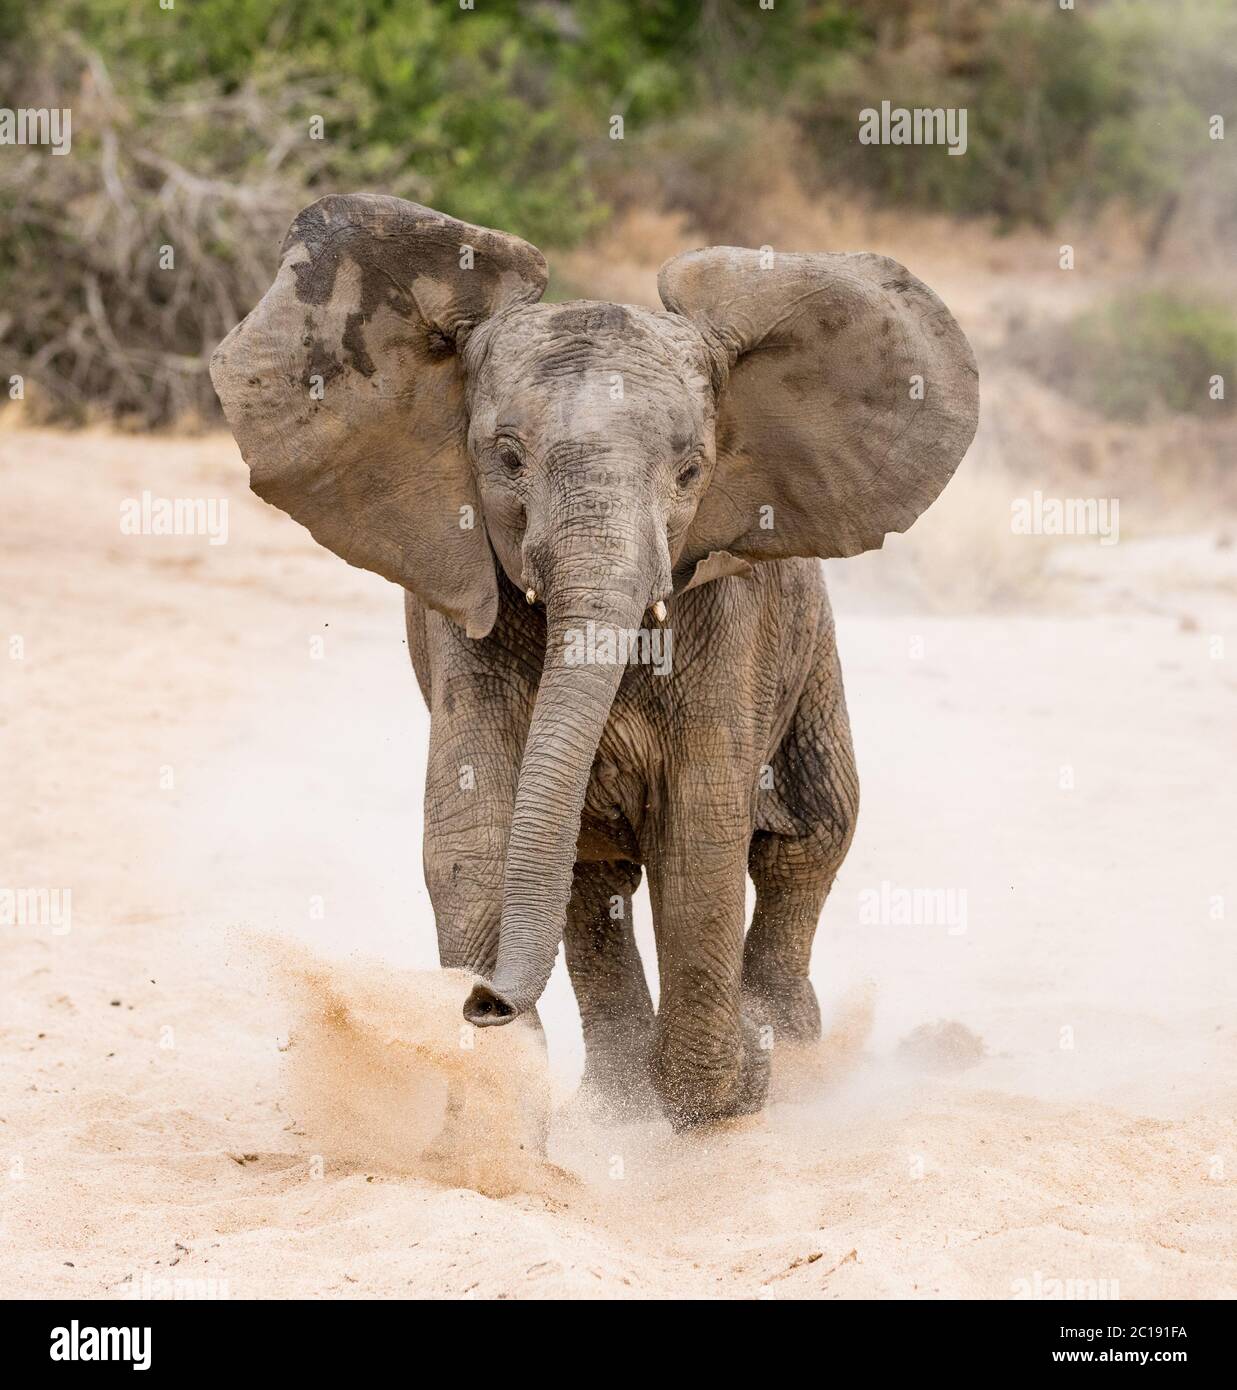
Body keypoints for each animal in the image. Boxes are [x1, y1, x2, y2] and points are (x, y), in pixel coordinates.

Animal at [211, 194, 978, 1130]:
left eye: (691, 471)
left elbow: (701, 834)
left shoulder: (728, 616)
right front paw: (500, 1109)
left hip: (810, 652)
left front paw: (730, 1089)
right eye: (506, 458)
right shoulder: (466, 612)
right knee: (592, 879)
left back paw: (789, 1055)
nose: (484, 1002)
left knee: (808, 834)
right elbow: (475, 834)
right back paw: (621, 1103)